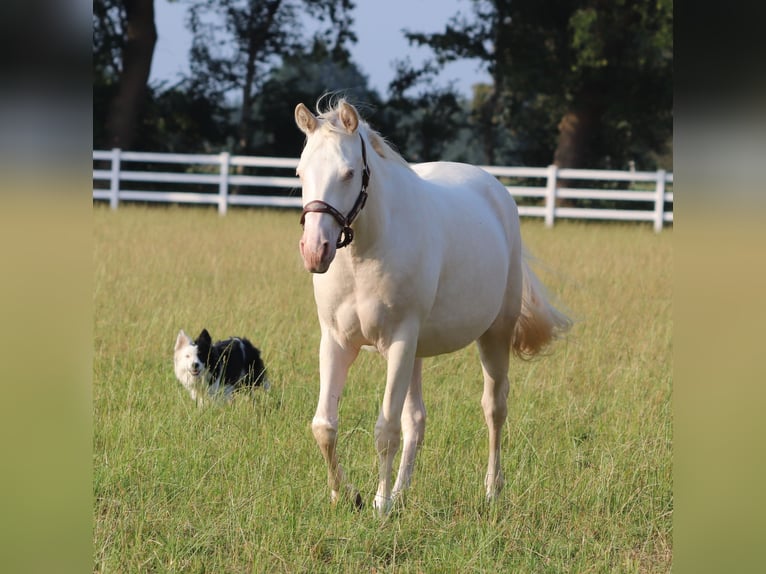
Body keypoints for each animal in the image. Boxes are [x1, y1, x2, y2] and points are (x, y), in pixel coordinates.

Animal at [294, 98, 572, 516]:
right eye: (300, 173)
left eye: (348, 173)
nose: (315, 251)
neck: (365, 255)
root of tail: (496, 192)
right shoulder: (337, 342)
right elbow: (324, 426)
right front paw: (346, 495)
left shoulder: (399, 341)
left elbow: (385, 430)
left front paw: (379, 506)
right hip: (417, 353)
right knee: (417, 419)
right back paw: (401, 492)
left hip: (493, 336)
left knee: (494, 408)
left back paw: (491, 490)